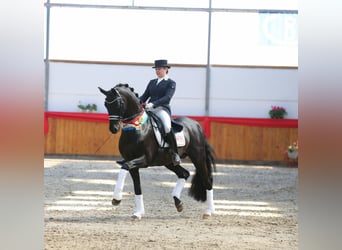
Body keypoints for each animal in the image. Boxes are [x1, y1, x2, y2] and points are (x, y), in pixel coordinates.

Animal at [99, 84, 215, 219]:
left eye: (118, 103)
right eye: (106, 104)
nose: (113, 128)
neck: (137, 127)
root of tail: (196, 125)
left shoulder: (144, 159)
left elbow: (125, 167)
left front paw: (116, 199)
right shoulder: (131, 161)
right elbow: (137, 187)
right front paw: (138, 213)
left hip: (198, 158)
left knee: (207, 181)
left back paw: (209, 211)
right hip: (169, 161)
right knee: (184, 174)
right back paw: (178, 202)